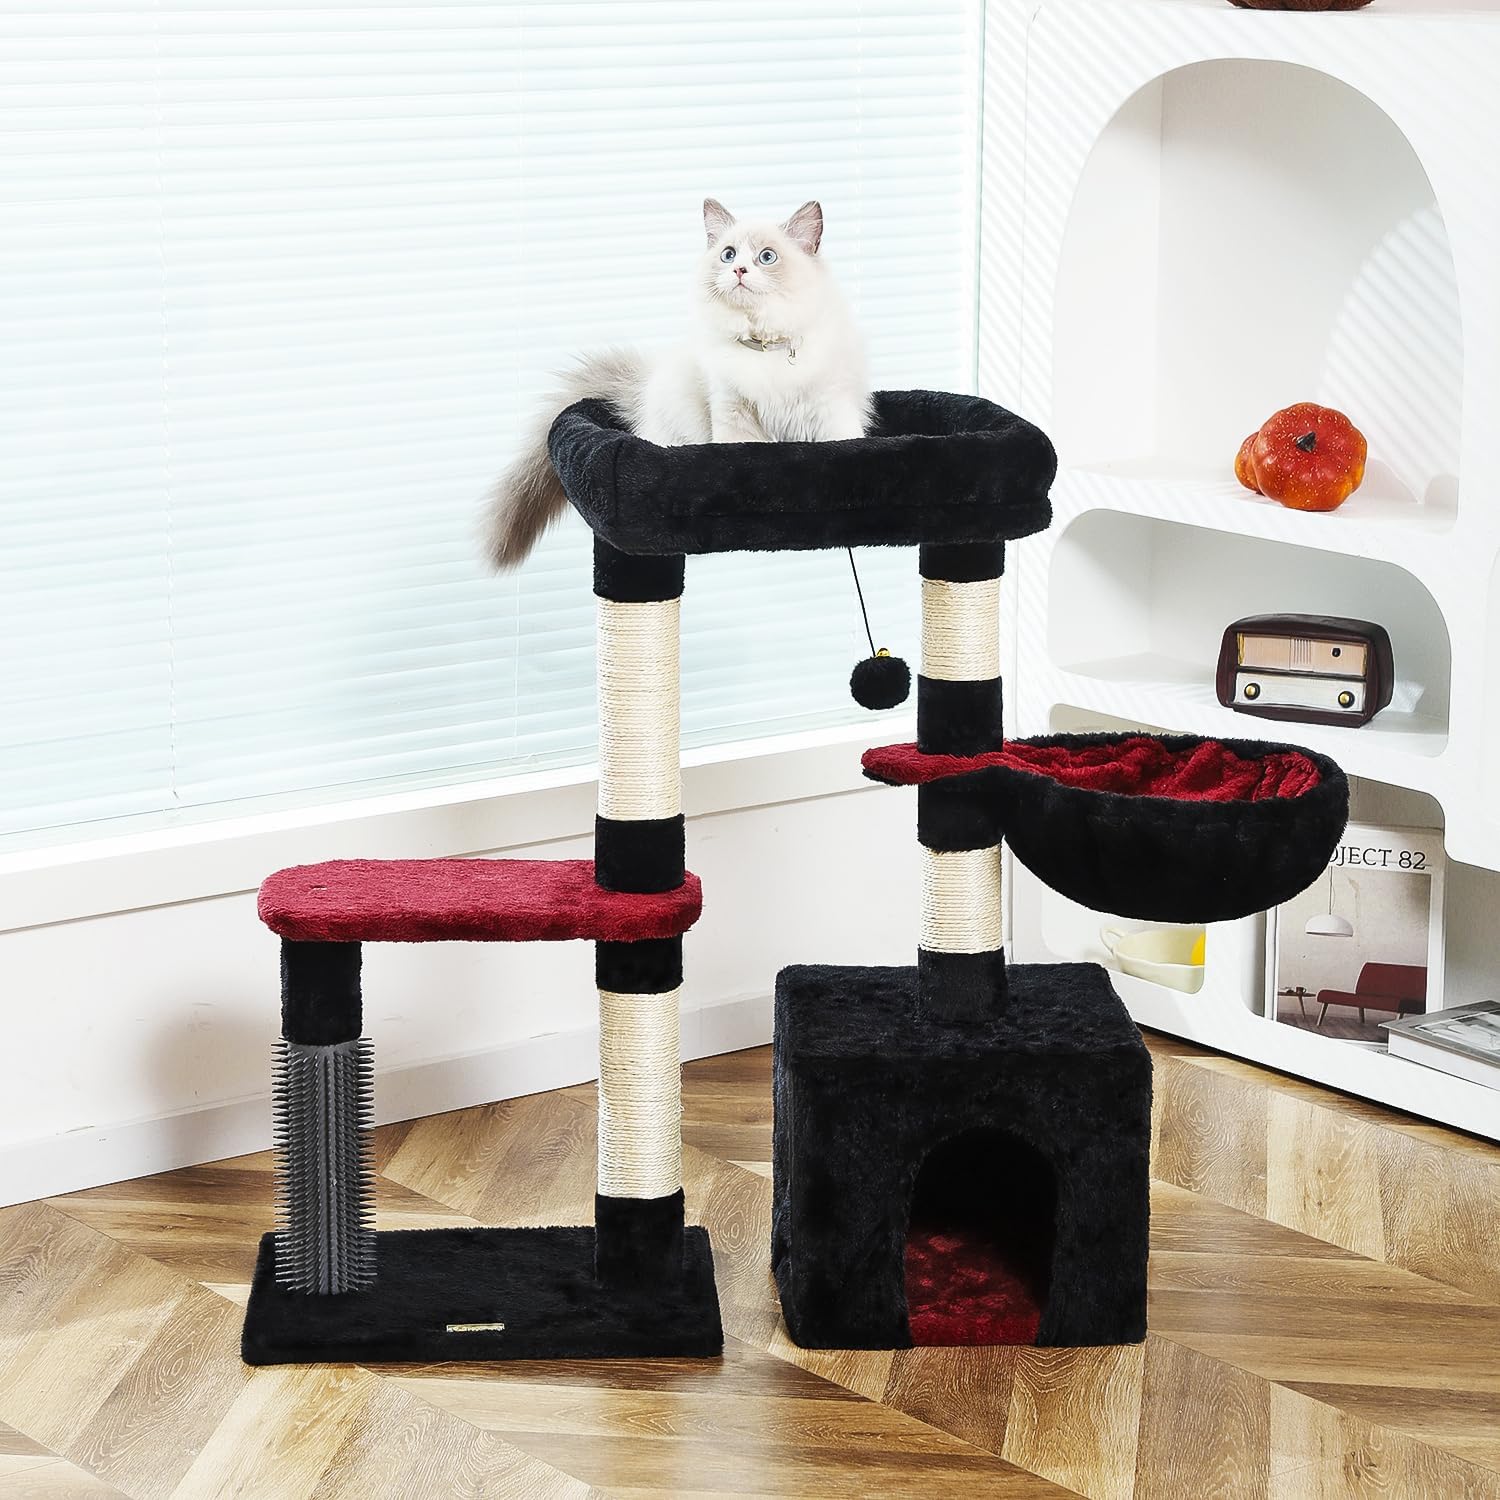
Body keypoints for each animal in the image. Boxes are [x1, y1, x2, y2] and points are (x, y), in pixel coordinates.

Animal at [484, 198, 871, 569]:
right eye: (728, 255)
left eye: (767, 257)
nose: (739, 270)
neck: (764, 347)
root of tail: (644, 385)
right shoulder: (733, 411)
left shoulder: (829, 409)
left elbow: (844, 449)